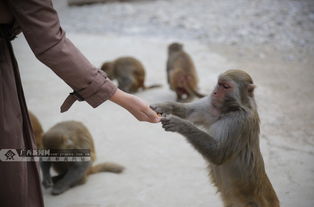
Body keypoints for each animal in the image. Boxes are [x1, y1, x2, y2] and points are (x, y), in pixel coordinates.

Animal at [151, 69, 280, 207]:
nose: (214, 92)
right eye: (219, 84)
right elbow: (189, 112)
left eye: (226, 86)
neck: (229, 110)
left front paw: (179, 124)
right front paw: (162, 106)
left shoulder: (239, 121)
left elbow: (218, 154)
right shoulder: (212, 106)